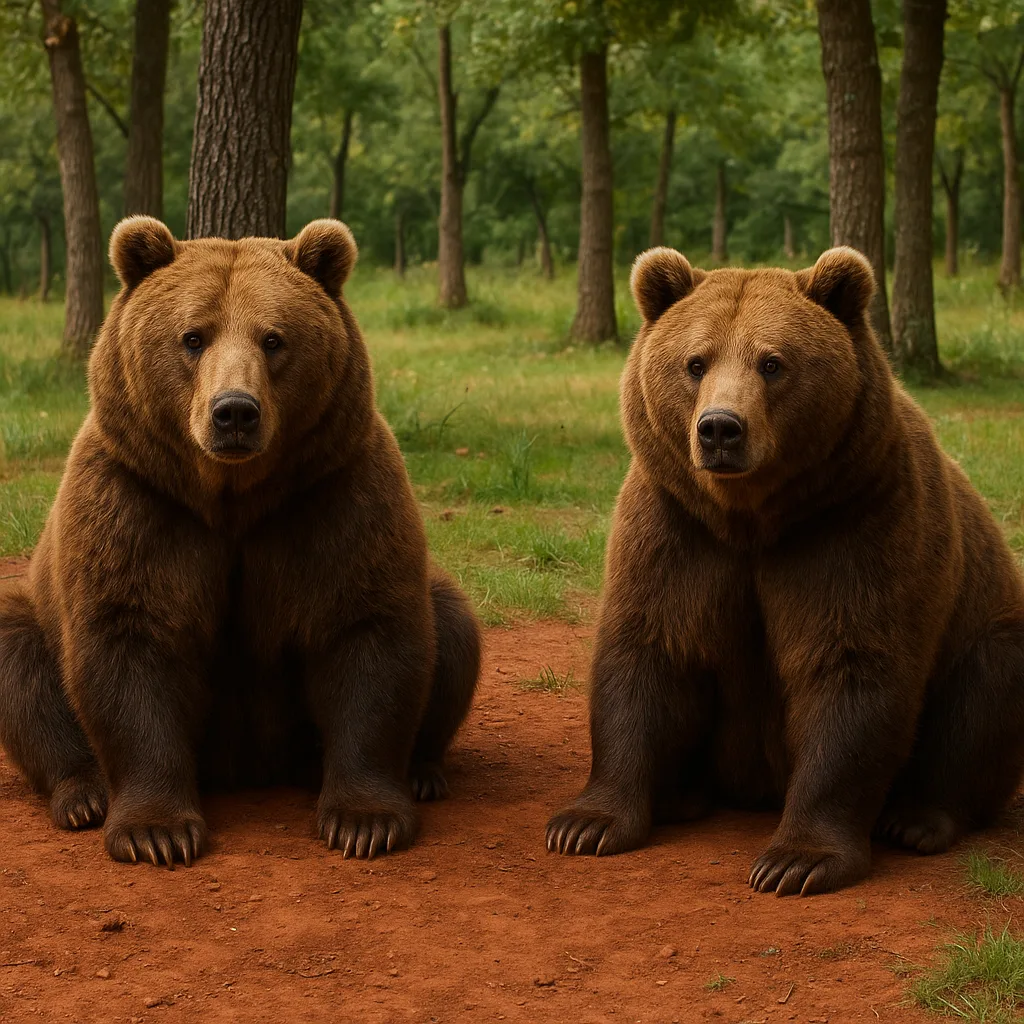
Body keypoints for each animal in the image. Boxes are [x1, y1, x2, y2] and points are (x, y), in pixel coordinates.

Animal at [0, 216, 481, 867]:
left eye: (273, 339)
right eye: (193, 336)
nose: (234, 412)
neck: (232, 499)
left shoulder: (332, 494)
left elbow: (368, 631)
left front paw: (365, 821)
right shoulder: (140, 503)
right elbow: (129, 642)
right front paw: (156, 832)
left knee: (451, 624)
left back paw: (421, 772)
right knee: (20, 659)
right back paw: (83, 795)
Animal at [547, 245, 1024, 895]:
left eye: (772, 363)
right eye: (695, 362)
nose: (720, 428)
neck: (752, 520)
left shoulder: (858, 524)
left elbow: (853, 668)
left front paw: (797, 859)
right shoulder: (676, 528)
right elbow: (648, 651)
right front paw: (585, 824)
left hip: (986, 618)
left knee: (983, 691)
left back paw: (919, 819)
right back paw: (680, 796)